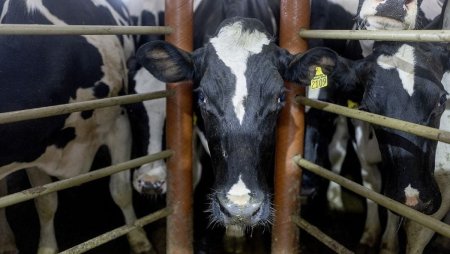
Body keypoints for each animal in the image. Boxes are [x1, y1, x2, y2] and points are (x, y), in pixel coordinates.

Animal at [0, 0, 151, 253]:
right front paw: (47, 247)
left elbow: (120, 189)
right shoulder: (35, 150)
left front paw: (139, 239)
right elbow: (45, 201)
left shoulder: (119, 124)